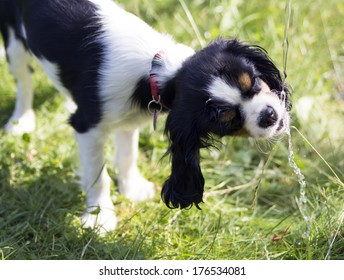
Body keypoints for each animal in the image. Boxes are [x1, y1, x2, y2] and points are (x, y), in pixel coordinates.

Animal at [0, 0, 290, 232]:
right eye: (227, 118)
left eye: (254, 82)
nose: (269, 115)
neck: (158, 72)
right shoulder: (88, 126)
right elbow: (98, 175)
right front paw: (100, 218)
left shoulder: (130, 119)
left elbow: (127, 155)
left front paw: (131, 190)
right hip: (14, 41)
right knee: (24, 80)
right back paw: (21, 121)